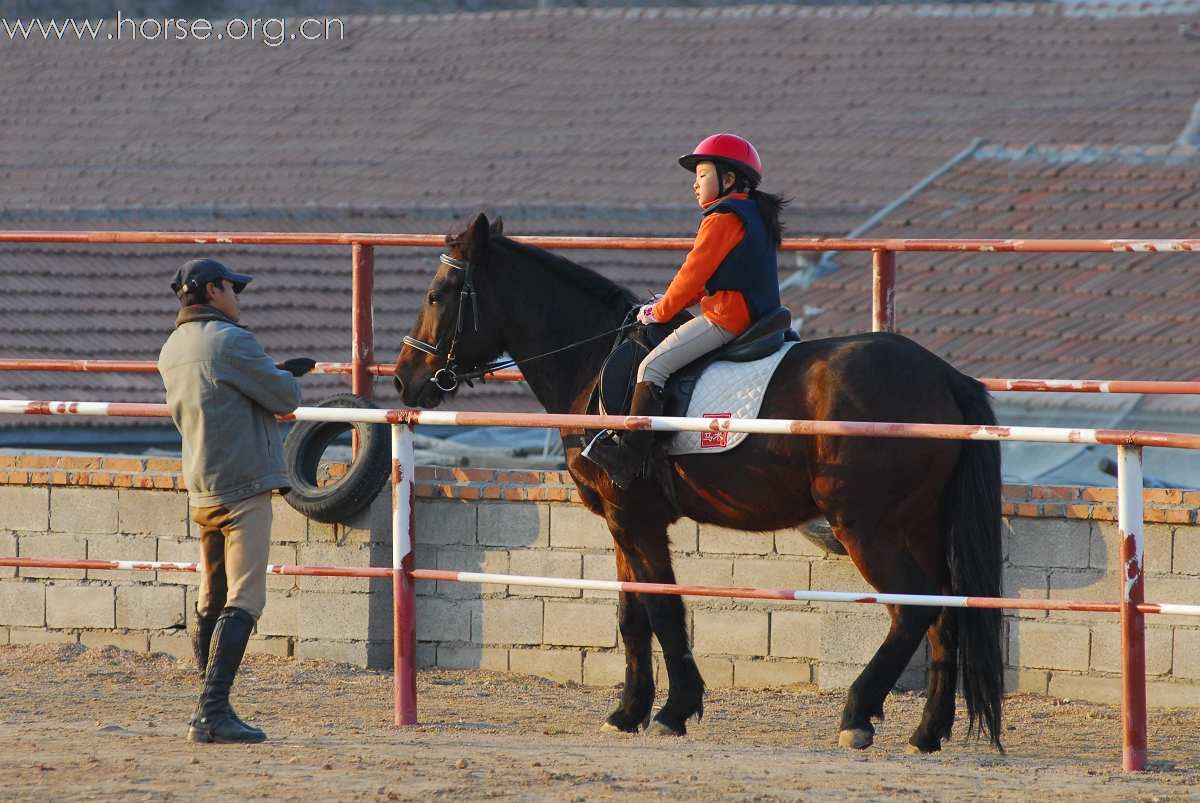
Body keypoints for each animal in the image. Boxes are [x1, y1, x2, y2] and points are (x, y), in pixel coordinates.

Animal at [393, 212, 1003, 753]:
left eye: (439, 294)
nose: (403, 379)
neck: (594, 360)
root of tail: (943, 376)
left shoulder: (634, 519)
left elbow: (662, 609)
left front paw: (673, 710)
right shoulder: (622, 521)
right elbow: (632, 615)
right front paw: (628, 711)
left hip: (865, 527)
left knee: (913, 608)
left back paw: (857, 715)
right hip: (918, 524)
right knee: (944, 609)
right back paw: (927, 731)